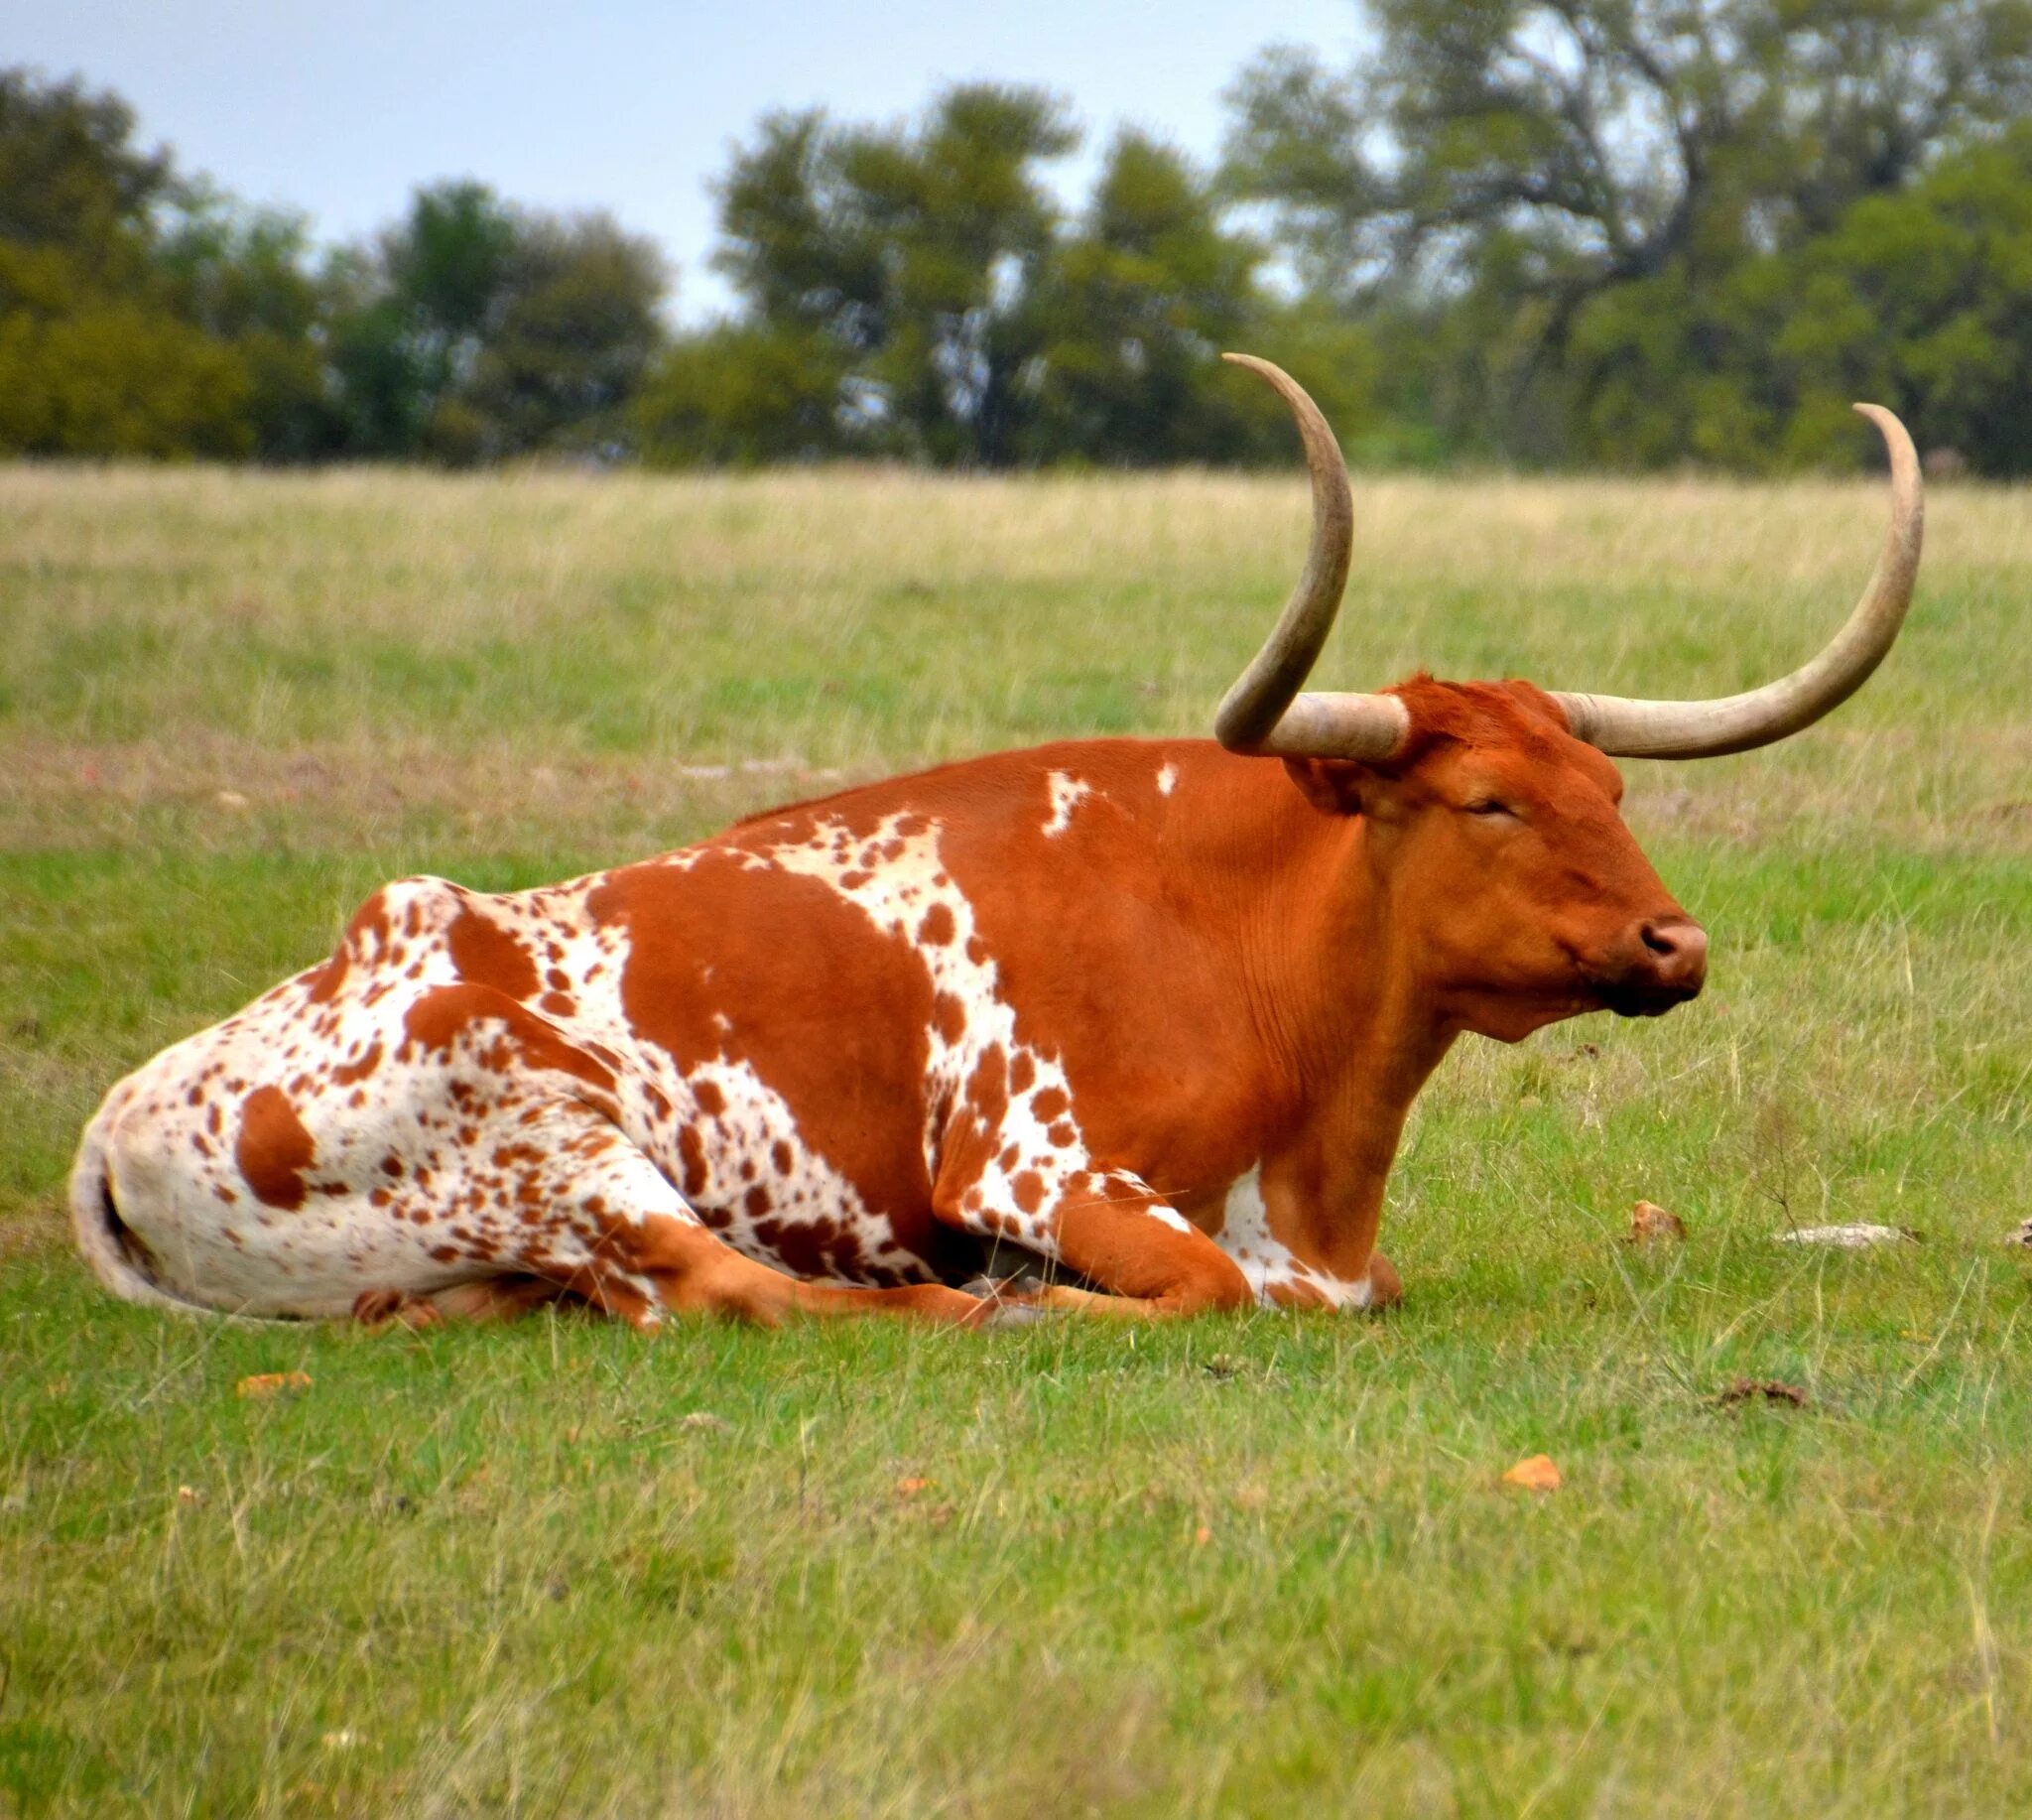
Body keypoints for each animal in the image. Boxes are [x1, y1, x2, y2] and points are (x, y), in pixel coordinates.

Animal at [67, 359, 1918, 1324]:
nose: (1675, 943)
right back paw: (965, 1303)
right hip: (553, 1126)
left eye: (1611, 788)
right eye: (1488, 800)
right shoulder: (1032, 1162)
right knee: (740, 1288)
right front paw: (1048, 1291)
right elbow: (1214, 1287)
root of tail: (120, 1115)